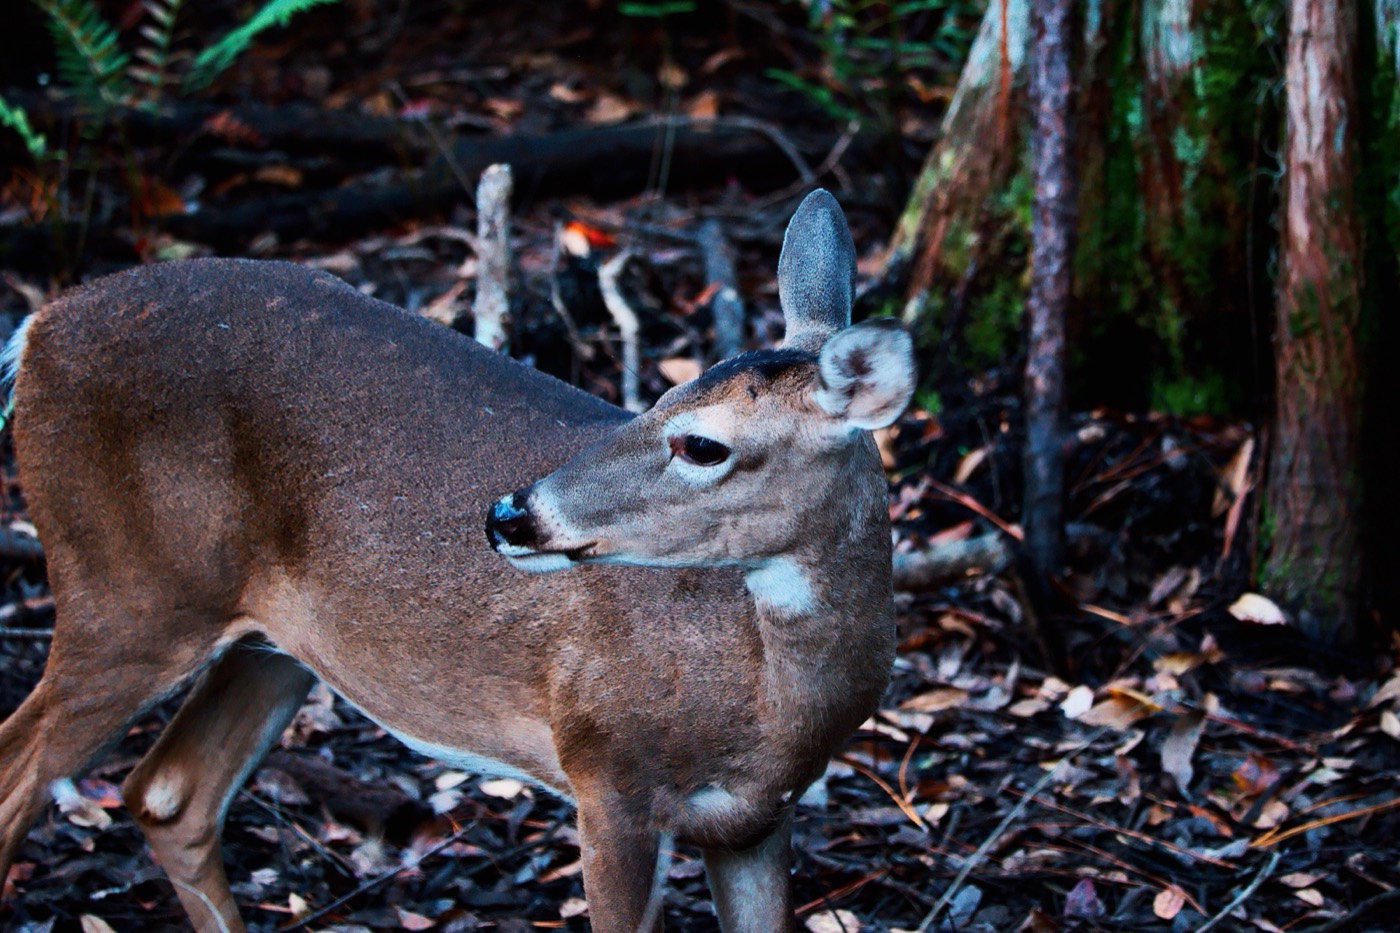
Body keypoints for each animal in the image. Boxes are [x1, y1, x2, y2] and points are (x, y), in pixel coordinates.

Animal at [0, 190, 914, 932]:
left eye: (701, 443)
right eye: (653, 399)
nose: (510, 513)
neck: (767, 708)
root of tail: (35, 330)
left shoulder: (758, 820)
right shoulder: (605, 771)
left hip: (273, 640)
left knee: (169, 792)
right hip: (125, 586)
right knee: (24, 770)